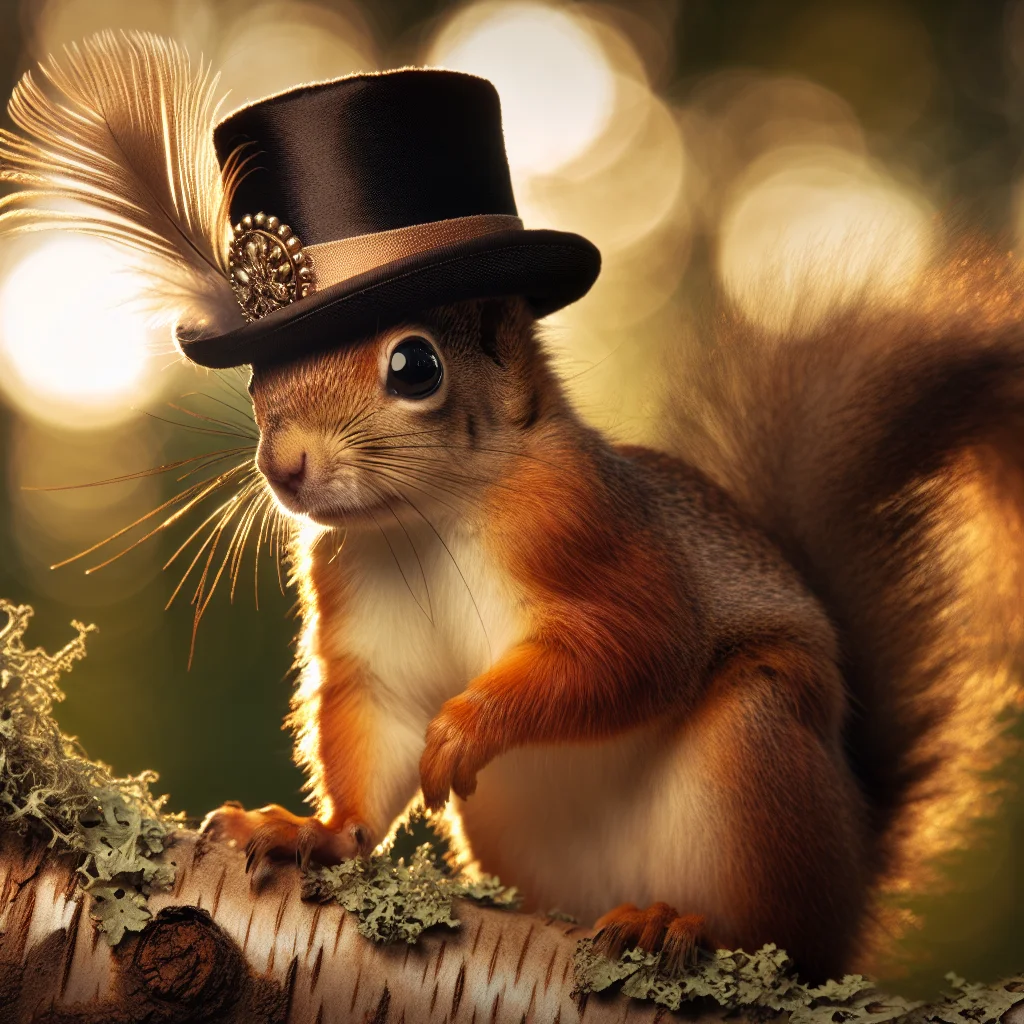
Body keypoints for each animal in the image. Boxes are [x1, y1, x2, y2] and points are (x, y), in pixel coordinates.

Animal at [200, 245, 1024, 983]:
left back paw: (679, 925)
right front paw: (317, 834)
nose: (285, 466)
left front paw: (467, 728)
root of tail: (854, 873)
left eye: (415, 366)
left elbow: (637, 652)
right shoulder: (362, 614)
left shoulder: (594, 531)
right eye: (260, 375)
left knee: (780, 938)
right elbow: (382, 720)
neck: (427, 513)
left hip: (760, 751)